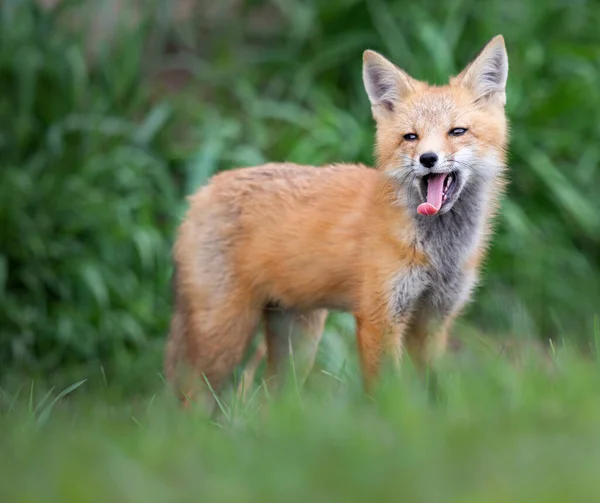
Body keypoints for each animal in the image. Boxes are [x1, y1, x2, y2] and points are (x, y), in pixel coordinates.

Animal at [165, 34, 510, 406]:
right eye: (411, 137)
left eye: (457, 131)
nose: (428, 159)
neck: (439, 253)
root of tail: (201, 191)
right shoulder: (379, 318)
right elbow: (387, 394)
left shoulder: (433, 321)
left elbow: (435, 393)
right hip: (225, 336)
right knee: (192, 399)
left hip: (297, 340)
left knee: (273, 401)